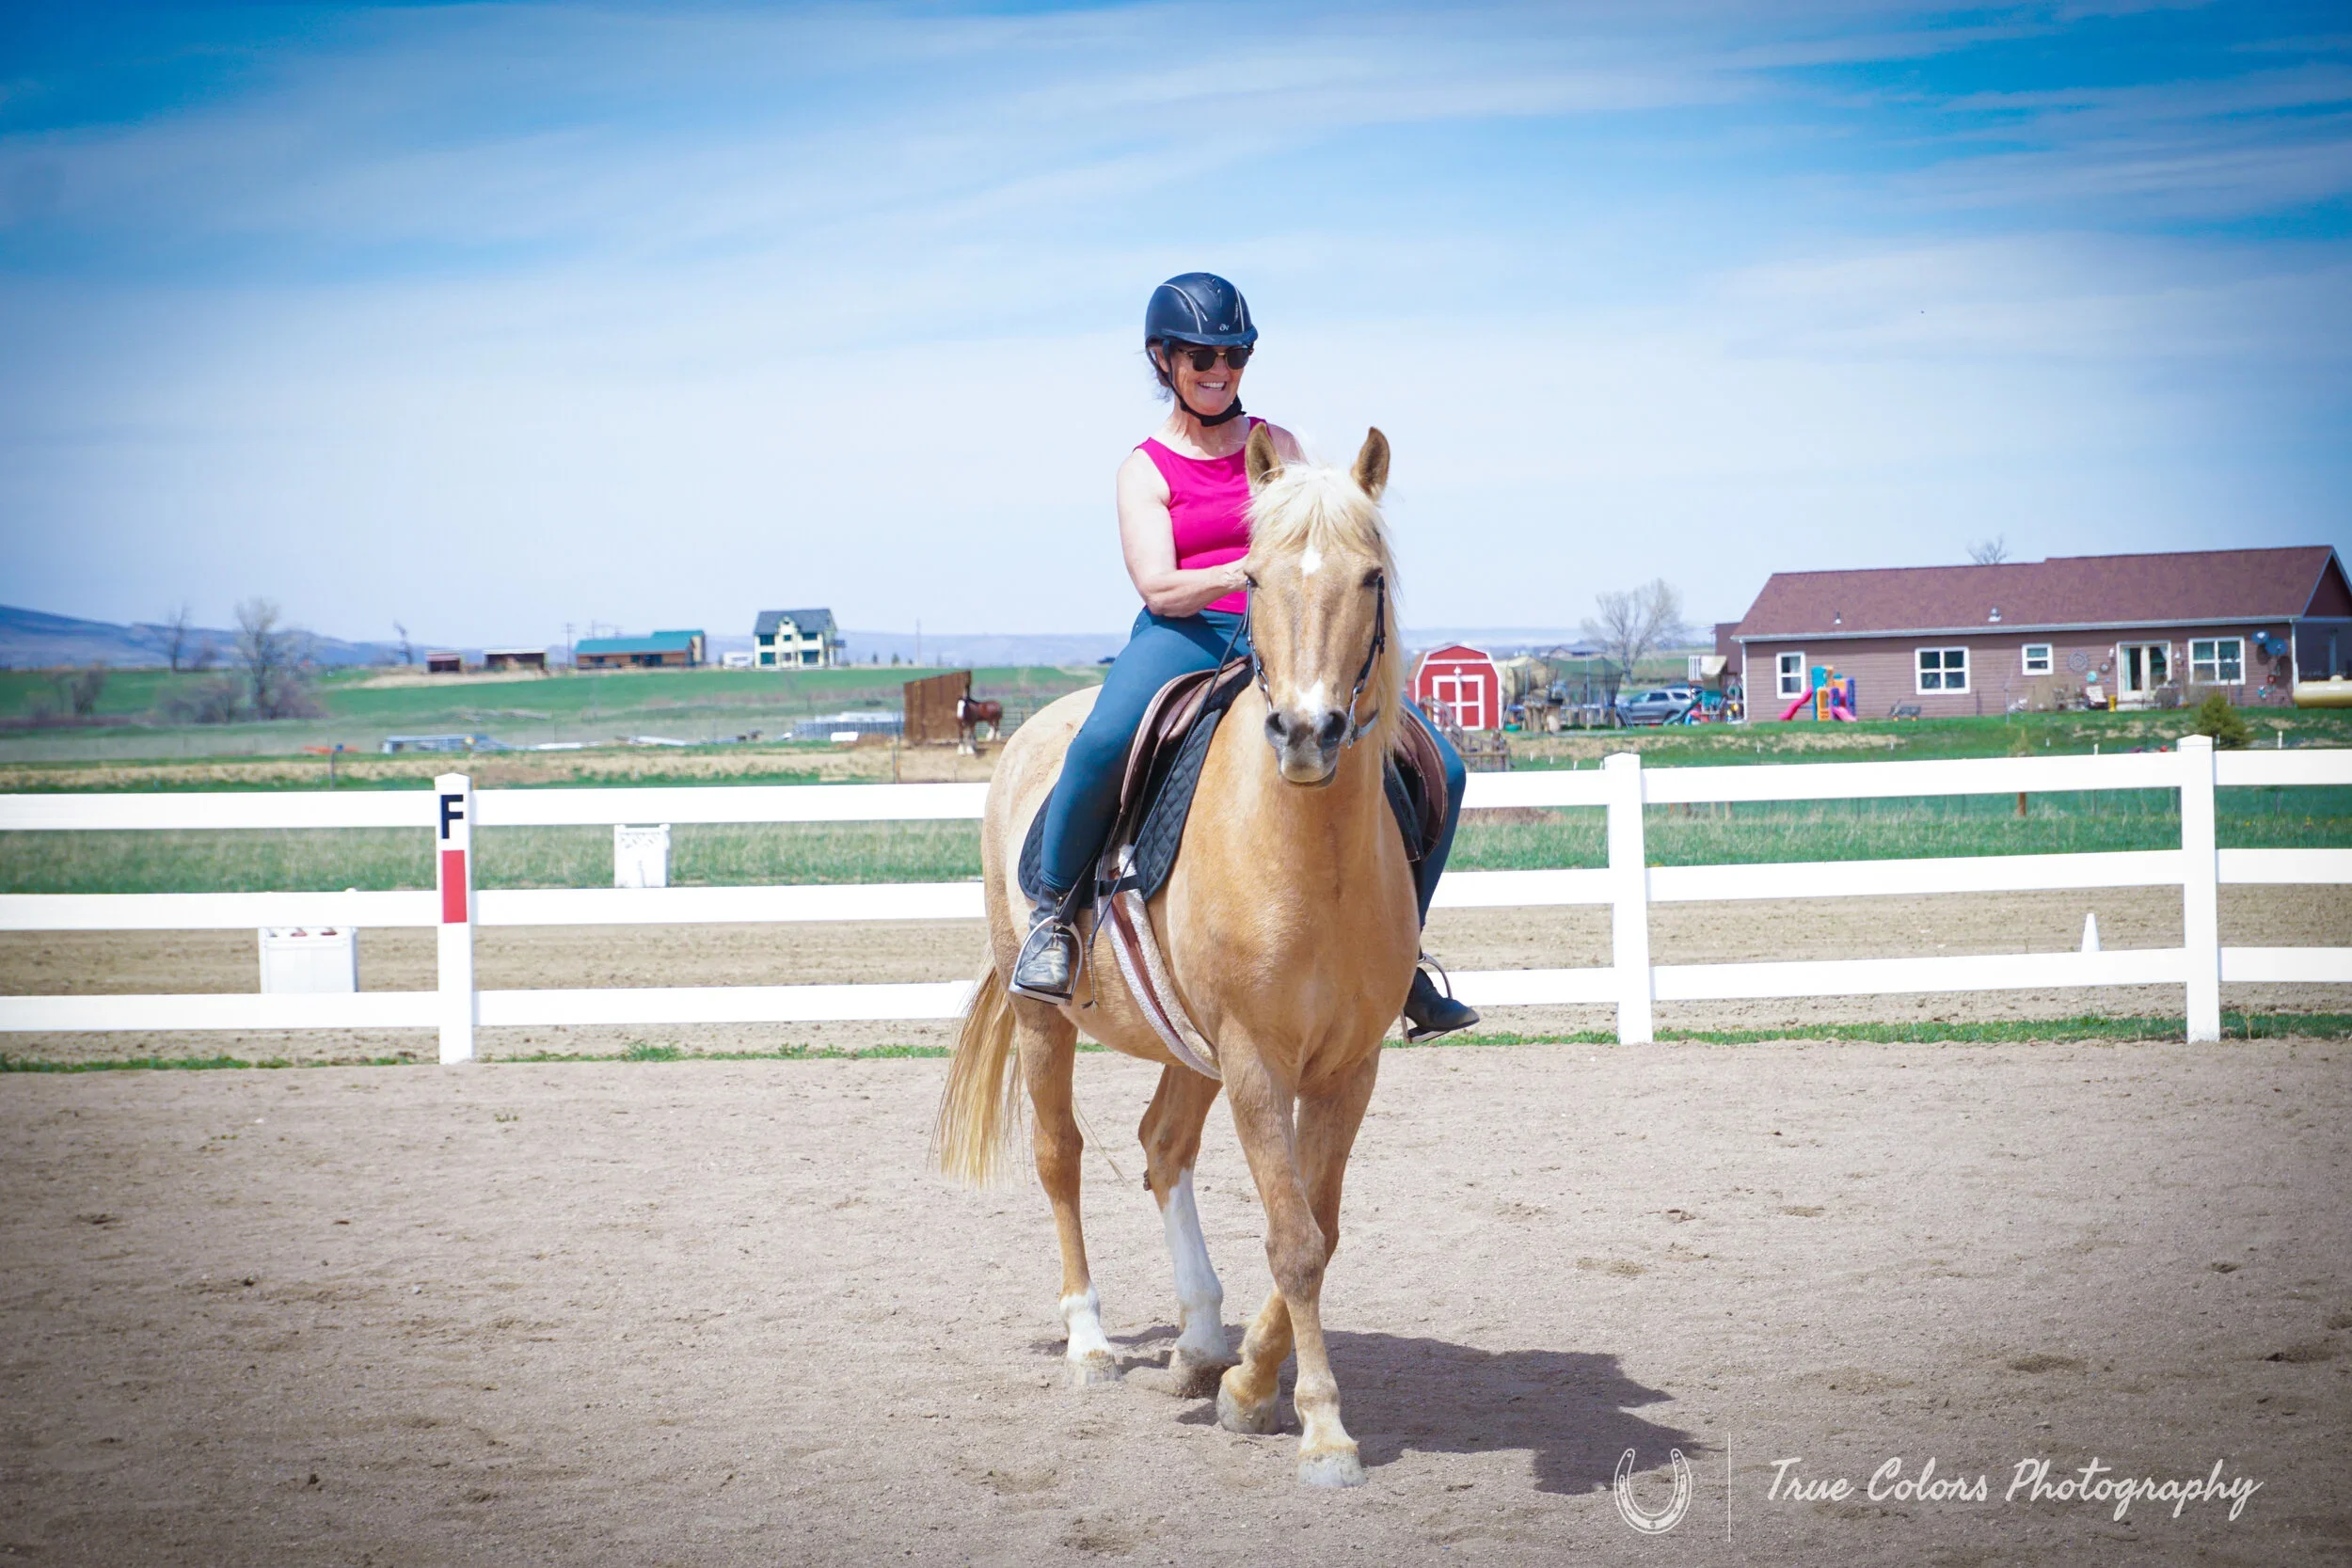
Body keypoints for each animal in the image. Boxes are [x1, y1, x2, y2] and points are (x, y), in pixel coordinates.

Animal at [934, 425, 1418, 1488]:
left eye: (1371, 576)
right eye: (1252, 573)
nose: (1306, 732)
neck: (1310, 859)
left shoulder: (1349, 1063)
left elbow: (1320, 1223)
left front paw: (1246, 1380)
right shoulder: (1254, 1055)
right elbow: (1294, 1237)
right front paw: (1321, 1428)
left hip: (1187, 1042)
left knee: (1161, 1147)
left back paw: (1198, 1342)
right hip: (1049, 1020)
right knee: (1061, 1155)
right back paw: (1090, 1342)